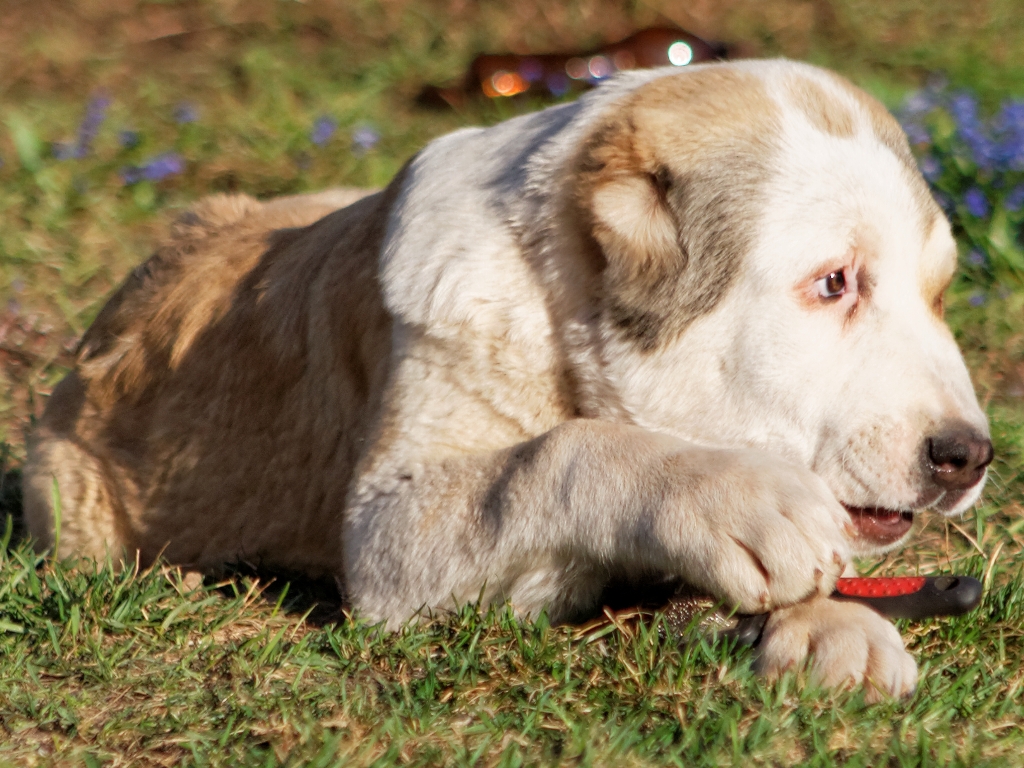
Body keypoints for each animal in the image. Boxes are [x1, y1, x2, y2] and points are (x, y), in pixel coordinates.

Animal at [22, 57, 991, 700]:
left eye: (940, 292)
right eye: (834, 283)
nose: (970, 457)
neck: (552, 305)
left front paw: (833, 628)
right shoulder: (391, 528)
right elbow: (556, 454)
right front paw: (737, 499)